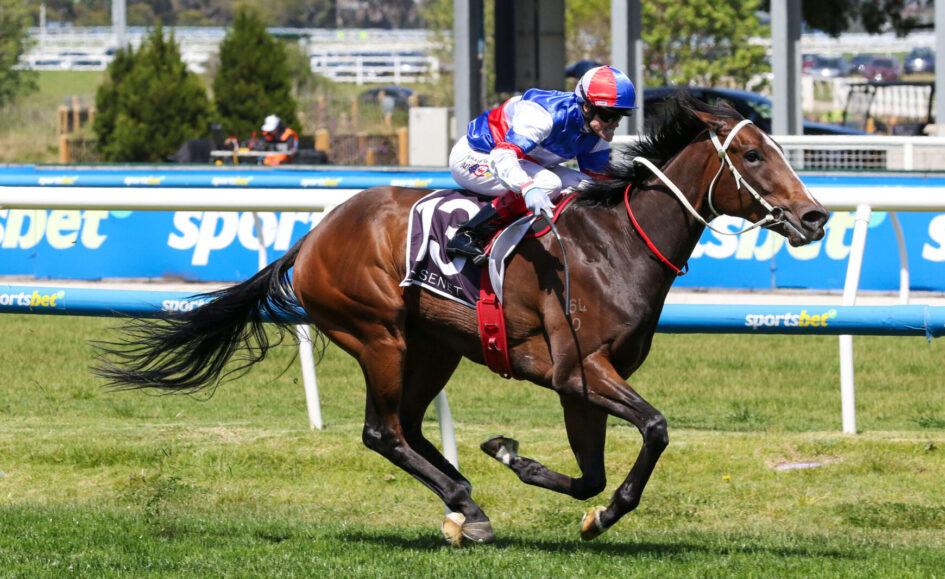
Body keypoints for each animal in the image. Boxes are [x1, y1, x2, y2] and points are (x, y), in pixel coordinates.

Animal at [94, 92, 829, 545]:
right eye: (754, 155)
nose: (815, 215)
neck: (615, 244)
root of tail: (311, 237)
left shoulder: (579, 383)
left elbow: (590, 473)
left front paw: (525, 465)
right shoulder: (578, 369)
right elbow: (654, 427)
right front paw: (594, 511)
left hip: (433, 346)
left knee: (410, 428)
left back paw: (460, 499)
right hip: (379, 334)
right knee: (382, 432)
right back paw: (467, 507)